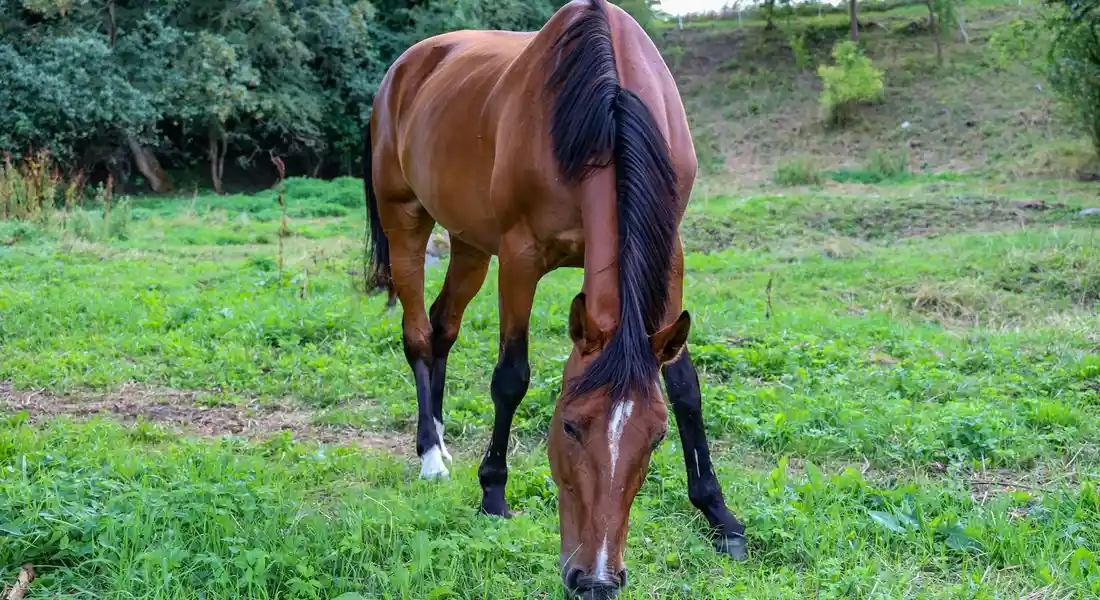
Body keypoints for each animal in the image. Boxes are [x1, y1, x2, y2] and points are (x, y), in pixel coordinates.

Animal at [364, 1, 747, 597]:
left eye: (656, 438)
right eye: (568, 425)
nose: (596, 579)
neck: (603, 106)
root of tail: (404, 68)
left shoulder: (671, 254)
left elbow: (686, 388)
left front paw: (718, 514)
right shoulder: (520, 256)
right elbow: (511, 377)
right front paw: (493, 494)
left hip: (470, 244)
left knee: (443, 326)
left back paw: (442, 438)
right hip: (405, 220)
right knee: (418, 336)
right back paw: (430, 456)